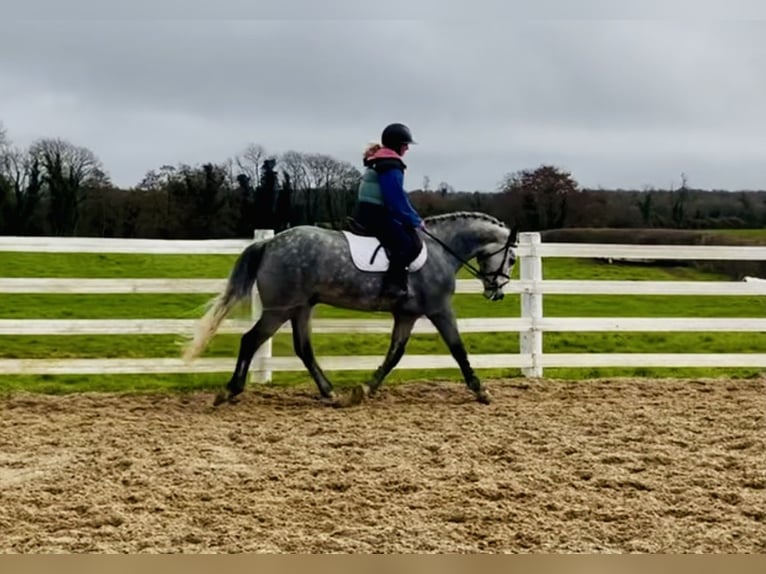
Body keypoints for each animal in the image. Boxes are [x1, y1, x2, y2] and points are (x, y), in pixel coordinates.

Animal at [182, 211, 518, 407]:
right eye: (512, 258)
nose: (497, 293)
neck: (441, 249)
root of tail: (269, 243)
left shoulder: (406, 315)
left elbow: (395, 354)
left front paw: (364, 389)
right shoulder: (439, 309)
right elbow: (458, 349)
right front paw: (480, 390)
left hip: (301, 308)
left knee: (303, 348)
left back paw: (329, 393)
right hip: (281, 308)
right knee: (251, 340)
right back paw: (230, 391)